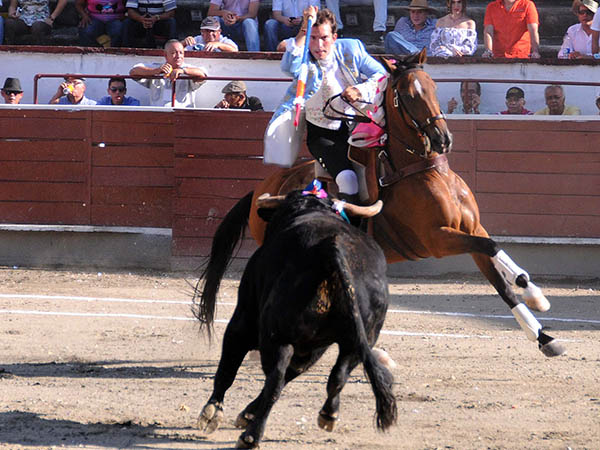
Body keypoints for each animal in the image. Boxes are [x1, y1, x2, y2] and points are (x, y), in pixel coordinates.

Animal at [195, 192, 396, 448]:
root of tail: (331, 248)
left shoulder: (243, 320)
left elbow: (228, 370)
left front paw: (212, 413)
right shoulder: (312, 349)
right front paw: (246, 412)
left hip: (277, 336)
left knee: (274, 380)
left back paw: (251, 436)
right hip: (358, 342)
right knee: (337, 375)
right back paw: (328, 415)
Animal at [196, 49, 564, 358]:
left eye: (433, 87)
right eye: (409, 95)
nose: (443, 139)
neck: (424, 170)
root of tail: (262, 189)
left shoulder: (471, 228)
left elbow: (500, 275)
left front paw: (542, 327)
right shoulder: (438, 239)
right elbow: (492, 247)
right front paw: (536, 296)